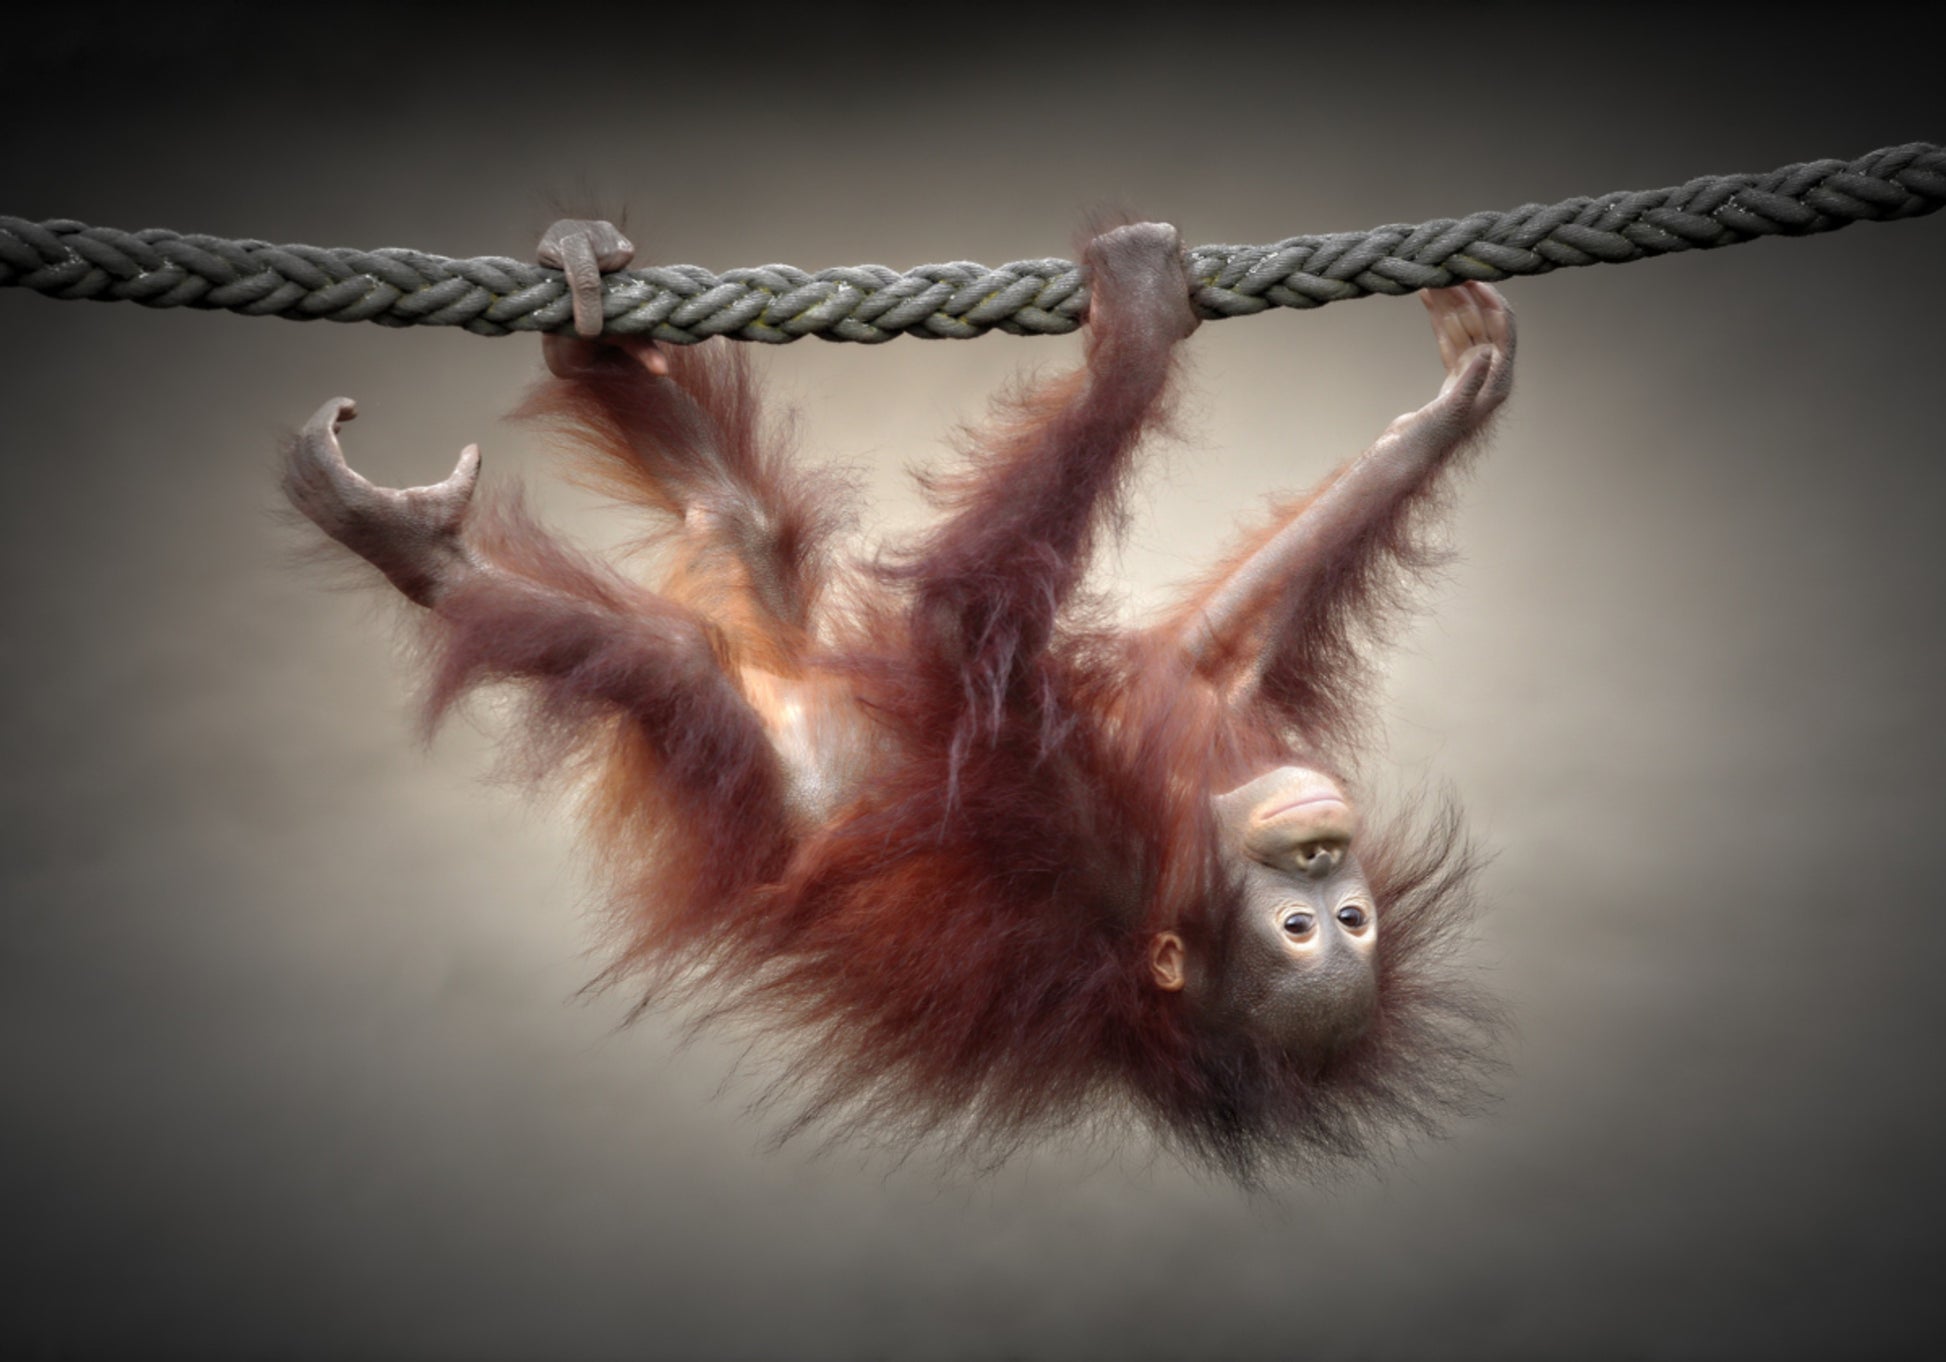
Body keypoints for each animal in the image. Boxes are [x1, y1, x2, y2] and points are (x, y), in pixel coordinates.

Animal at [281, 220, 1509, 1182]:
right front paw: (1450, 401)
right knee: (736, 519)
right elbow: (1227, 642)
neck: (1172, 884)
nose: (1322, 856)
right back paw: (588, 323)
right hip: (763, 611)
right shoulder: (1184, 756)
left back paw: (415, 545)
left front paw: (1135, 336)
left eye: (1336, 929)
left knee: (658, 656)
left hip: (730, 746)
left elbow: (962, 623)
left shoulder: (1077, 843)